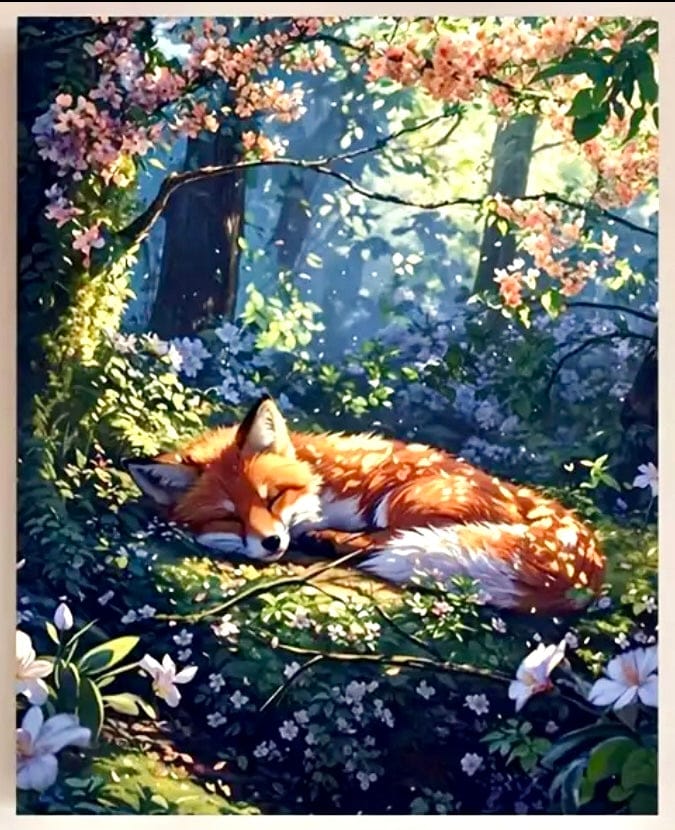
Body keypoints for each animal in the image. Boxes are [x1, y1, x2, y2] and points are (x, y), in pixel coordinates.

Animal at [125, 394, 605, 613]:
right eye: (228, 516)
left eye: (273, 496)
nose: (271, 543)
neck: (319, 479)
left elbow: (372, 536)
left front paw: (324, 535)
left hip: (407, 497)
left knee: (391, 539)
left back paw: (333, 540)